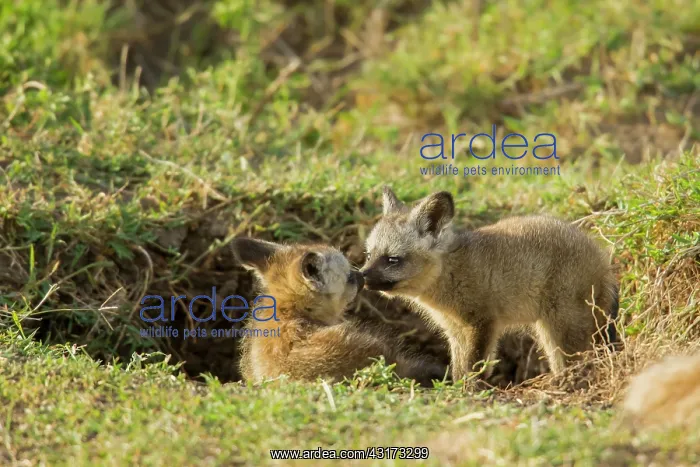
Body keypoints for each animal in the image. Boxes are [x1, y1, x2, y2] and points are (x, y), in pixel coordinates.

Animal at [360, 187, 619, 382]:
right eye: (369, 255)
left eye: (392, 259)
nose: (361, 276)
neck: (451, 271)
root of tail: (603, 262)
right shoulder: (455, 331)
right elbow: (459, 370)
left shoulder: (483, 322)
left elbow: (474, 368)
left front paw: (470, 394)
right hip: (549, 331)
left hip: (562, 327)